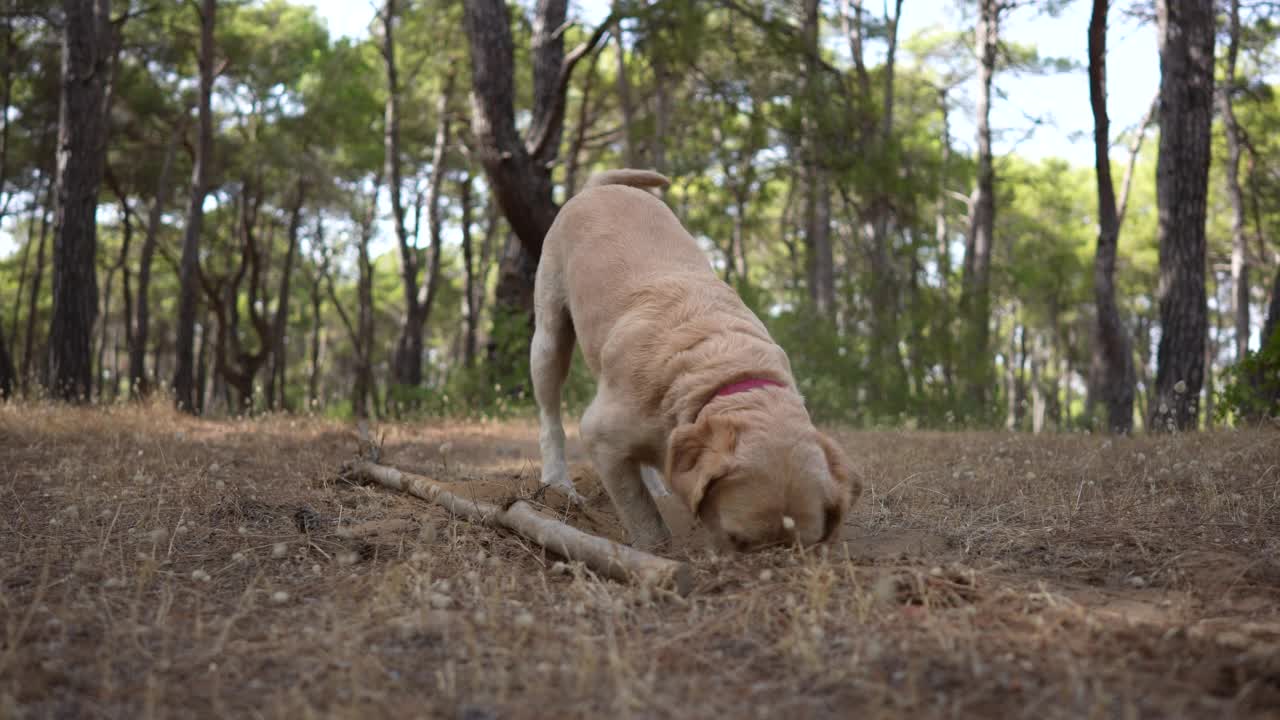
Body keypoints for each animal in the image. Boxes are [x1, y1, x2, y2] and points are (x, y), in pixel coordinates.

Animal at [529, 167, 860, 548]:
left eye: (804, 547)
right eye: (737, 539)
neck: (723, 373)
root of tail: (597, 187)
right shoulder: (600, 433)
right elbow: (639, 511)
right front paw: (658, 549)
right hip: (548, 337)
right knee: (550, 415)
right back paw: (558, 480)